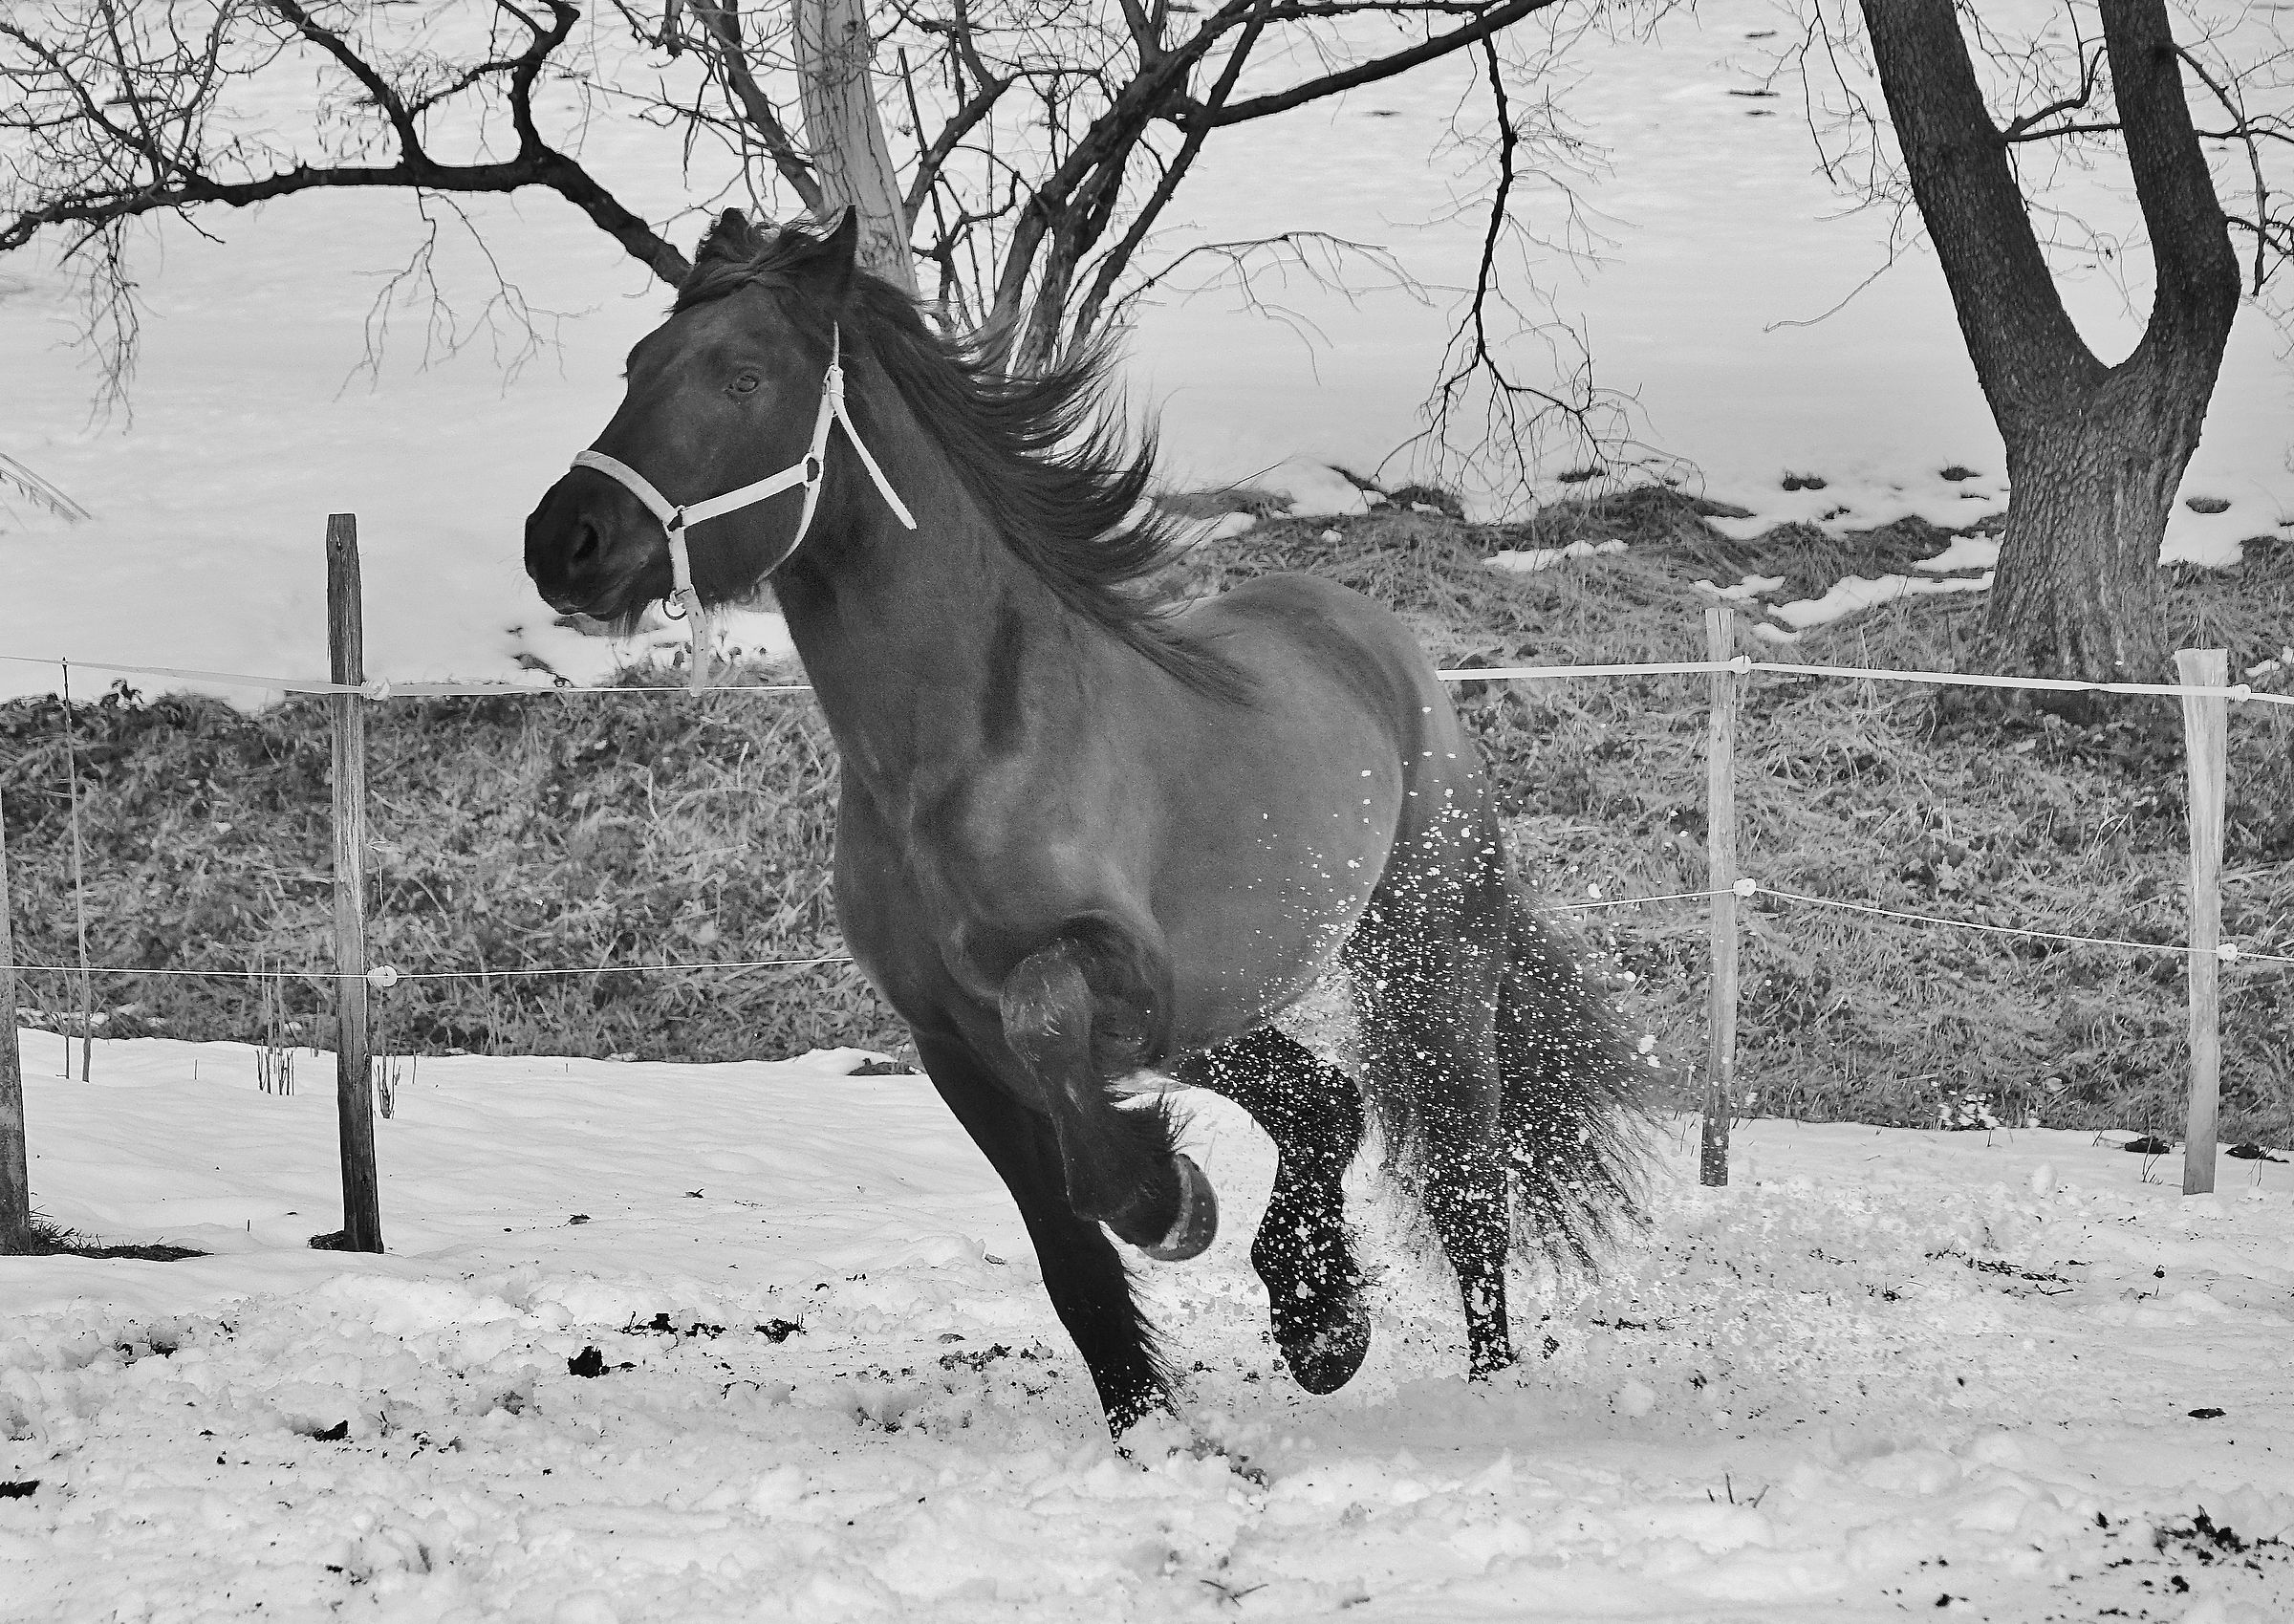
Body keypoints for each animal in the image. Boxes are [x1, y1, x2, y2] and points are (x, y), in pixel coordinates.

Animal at [524, 207, 1650, 1436]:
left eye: (742, 376)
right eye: (637, 366)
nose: (563, 539)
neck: (958, 753)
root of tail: (1370, 636)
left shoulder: (1109, 976)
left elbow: (1055, 1046)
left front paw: (1171, 1202)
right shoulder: (952, 1042)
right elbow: (1070, 1257)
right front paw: (1147, 1426)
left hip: (1428, 964)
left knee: (1466, 1184)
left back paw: (1476, 1381)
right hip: (1215, 1013)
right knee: (1326, 1103)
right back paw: (1317, 1321)